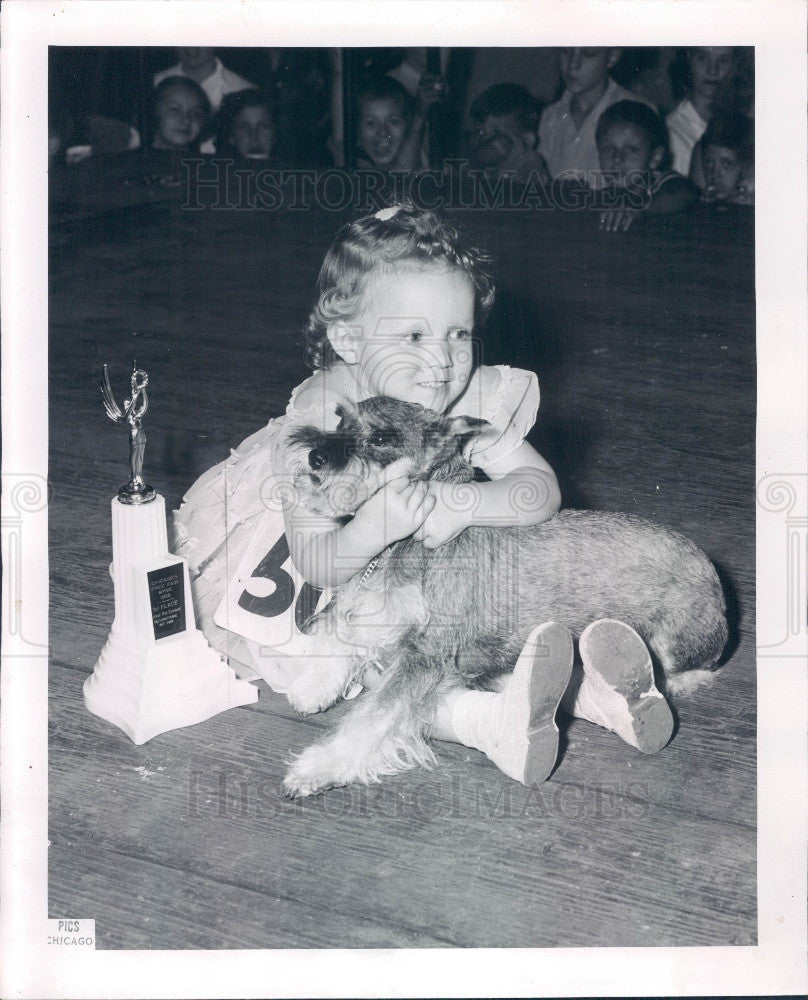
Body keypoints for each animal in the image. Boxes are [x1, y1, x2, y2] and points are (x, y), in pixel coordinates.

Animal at [278, 398, 724, 796]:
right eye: (340, 419)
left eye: (383, 437)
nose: (315, 456)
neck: (405, 542)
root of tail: (716, 579)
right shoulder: (375, 609)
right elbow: (341, 628)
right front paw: (313, 684)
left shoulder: (426, 654)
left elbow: (375, 715)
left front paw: (318, 768)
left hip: (673, 642)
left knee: (687, 673)